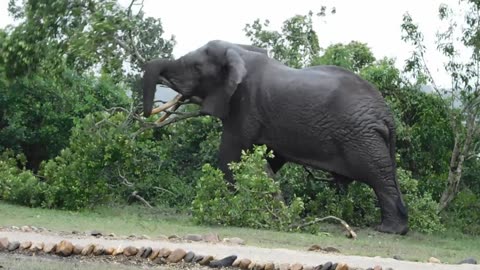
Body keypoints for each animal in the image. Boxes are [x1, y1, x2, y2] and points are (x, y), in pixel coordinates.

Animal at [142, 39, 408, 234]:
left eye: (197, 68)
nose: (145, 114)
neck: (239, 51)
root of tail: (386, 115)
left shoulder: (244, 104)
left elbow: (231, 155)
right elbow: (267, 160)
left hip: (361, 137)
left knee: (377, 176)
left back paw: (388, 230)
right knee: (384, 175)